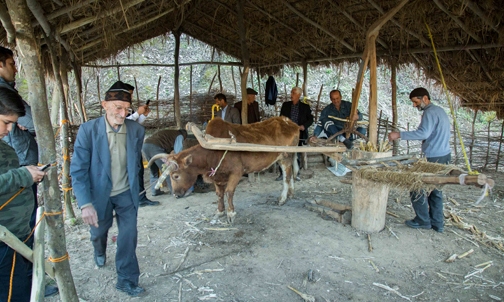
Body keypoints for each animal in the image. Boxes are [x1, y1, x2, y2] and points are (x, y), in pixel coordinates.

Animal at [150, 117, 300, 223]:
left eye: (175, 175)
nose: (175, 194)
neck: (212, 150)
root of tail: (290, 122)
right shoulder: (217, 175)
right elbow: (219, 193)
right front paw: (220, 211)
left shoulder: (236, 172)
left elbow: (228, 192)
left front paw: (231, 213)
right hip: (285, 157)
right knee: (291, 173)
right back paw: (291, 193)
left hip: (286, 156)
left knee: (286, 176)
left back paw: (282, 198)